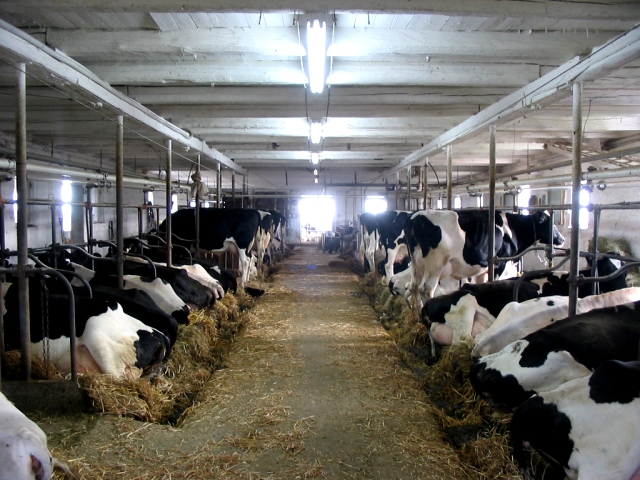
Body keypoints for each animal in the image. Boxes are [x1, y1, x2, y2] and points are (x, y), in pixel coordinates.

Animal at [404, 209, 564, 304]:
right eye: (550, 224)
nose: (562, 239)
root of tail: (416, 217)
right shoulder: (500, 264)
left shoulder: (482, 268)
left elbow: (480, 283)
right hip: (435, 265)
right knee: (426, 289)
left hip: (415, 264)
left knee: (414, 287)